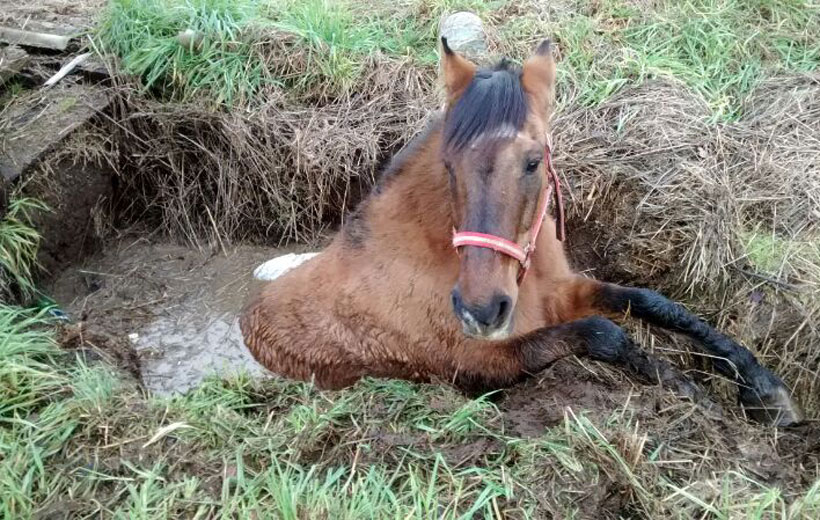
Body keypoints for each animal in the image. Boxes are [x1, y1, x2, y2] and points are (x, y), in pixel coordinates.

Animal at [240, 38, 802, 426]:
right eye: (448, 166)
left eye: (534, 162)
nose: (481, 309)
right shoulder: (478, 362)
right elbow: (605, 333)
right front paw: (685, 388)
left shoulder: (566, 291)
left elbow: (655, 304)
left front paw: (765, 390)